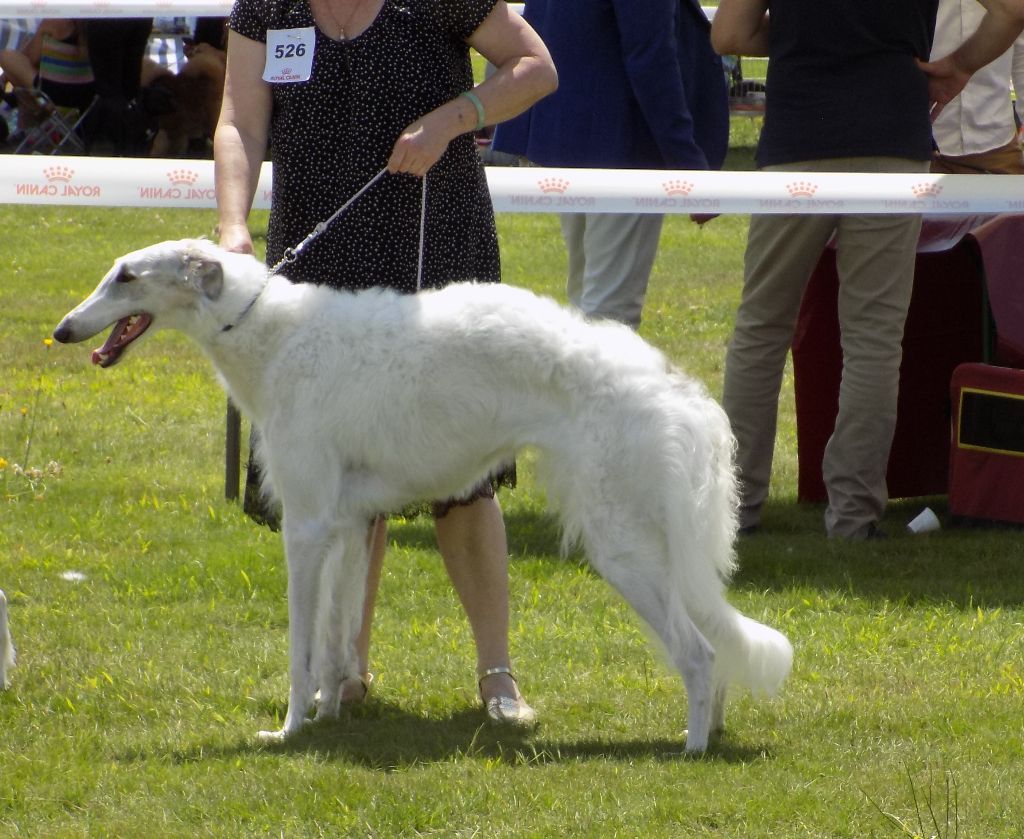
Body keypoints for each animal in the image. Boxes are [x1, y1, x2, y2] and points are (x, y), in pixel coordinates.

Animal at [51, 237, 794, 753]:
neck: (273, 335)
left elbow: (300, 645)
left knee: (698, 652)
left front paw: (288, 730)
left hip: (622, 544)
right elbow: (334, 641)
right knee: (713, 648)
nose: (62, 330)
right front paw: (328, 713)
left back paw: (690, 746)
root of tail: (673, 386)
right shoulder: (349, 522)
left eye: (127, 276)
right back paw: (712, 730)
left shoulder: (307, 525)